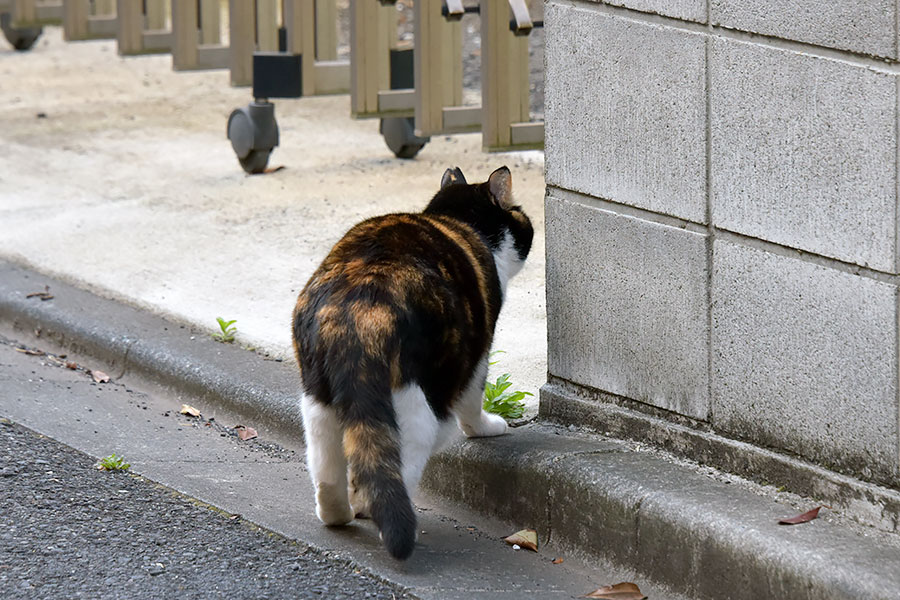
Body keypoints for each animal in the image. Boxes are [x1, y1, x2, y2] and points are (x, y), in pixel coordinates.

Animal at [292, 164, 532, 556]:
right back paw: (379, 514)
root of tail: (360, 306)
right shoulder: (480, 352)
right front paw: (487, 427)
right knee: (400, 460)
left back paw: (337, 513)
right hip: (420, 401)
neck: (456, 222)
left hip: (317, 399)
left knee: (327, 462)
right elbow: (474, 400)